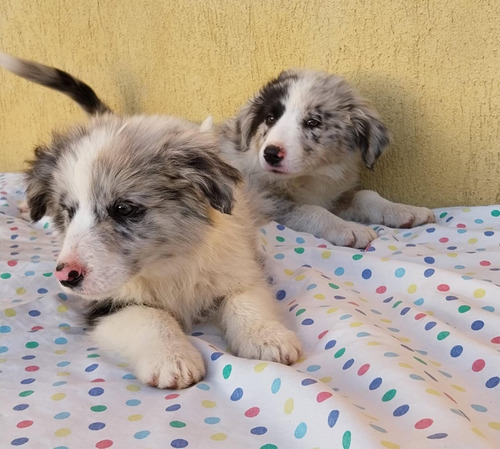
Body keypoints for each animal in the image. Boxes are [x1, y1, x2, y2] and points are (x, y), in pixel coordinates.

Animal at [0, 53, 300, 388]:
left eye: (123, 209)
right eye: (68, 211)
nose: (66, 276)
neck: (167, 265)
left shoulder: (237, 267)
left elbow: (246, 301)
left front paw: (267, 338)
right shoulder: (106, 306)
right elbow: (150, 317)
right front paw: (172, 359)